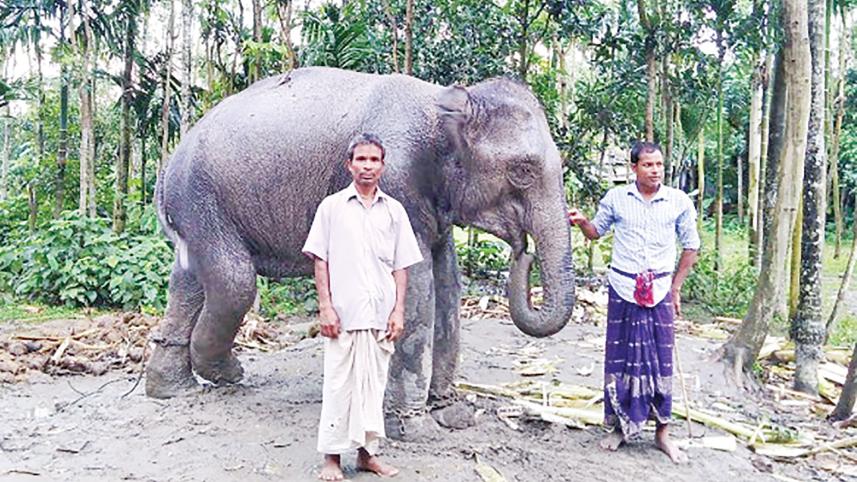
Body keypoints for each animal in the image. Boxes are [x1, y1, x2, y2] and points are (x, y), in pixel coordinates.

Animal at [147, 66, 576, 438]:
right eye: (523, 171)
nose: (523, 251)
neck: (442, 101)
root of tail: (165, 172)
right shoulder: (398, 179)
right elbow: (416, 287)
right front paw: (414, 429)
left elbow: (447, 282)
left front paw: (451, 414)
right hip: (202, 201)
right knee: (234, 282)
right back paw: (228, 373)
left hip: (196, 212)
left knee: (188, 280)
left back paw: (172, 389)